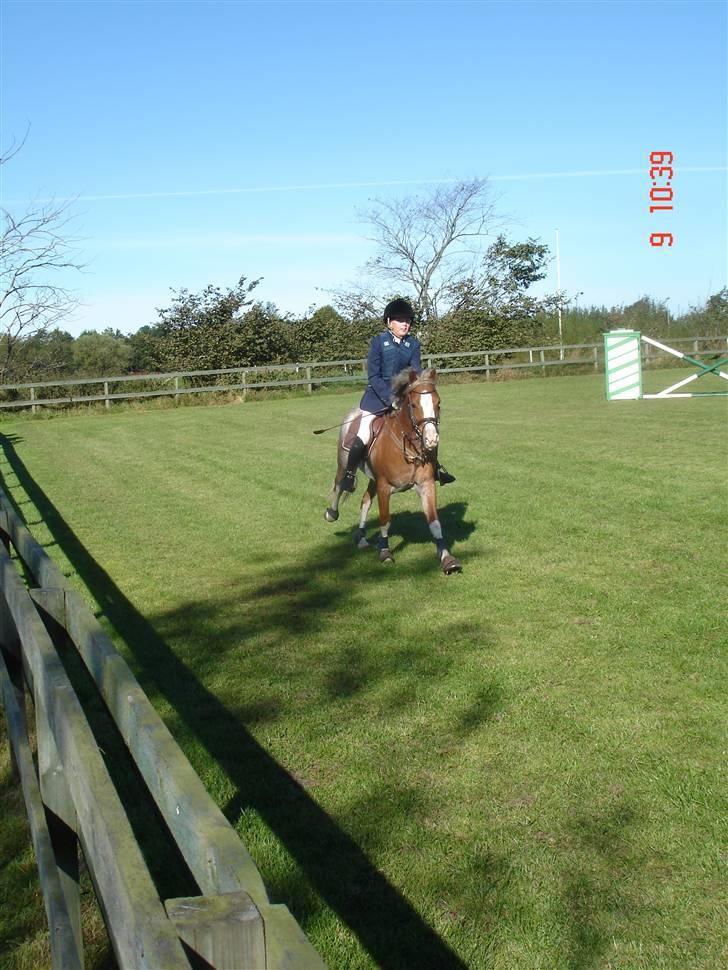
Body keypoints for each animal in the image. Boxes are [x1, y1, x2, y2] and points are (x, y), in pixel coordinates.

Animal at [324, 366, 460, 572]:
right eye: (413, 405)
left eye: (438, 403)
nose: (431, 440)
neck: (409, 445)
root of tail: (353, 413)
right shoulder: (384, 486)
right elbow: (385, 519)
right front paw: (385, 552)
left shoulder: (426, 484)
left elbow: (434, 522)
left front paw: (447, 558)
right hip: (344, 463)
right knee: (340, 485)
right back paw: (331, 514)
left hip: (373, 478)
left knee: (365, 501)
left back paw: (361, 537)